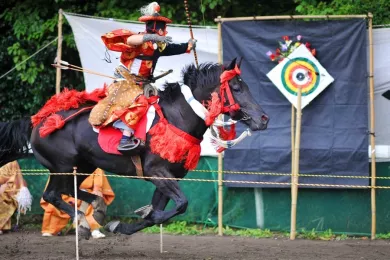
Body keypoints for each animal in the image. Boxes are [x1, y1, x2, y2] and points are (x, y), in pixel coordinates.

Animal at [0, 58, 268, 238]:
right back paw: (83, 221)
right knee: (53, 194)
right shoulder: (157, 172)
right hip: (62, 165)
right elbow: (181, 204)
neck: (177, 117)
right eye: (237, 88)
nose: (263, 119)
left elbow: (163, 212)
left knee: (69, 191)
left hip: (83, 165)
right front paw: (144, 214)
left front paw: (125, 224)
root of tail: (38, 120)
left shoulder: (167, 179)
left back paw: (97, 208)